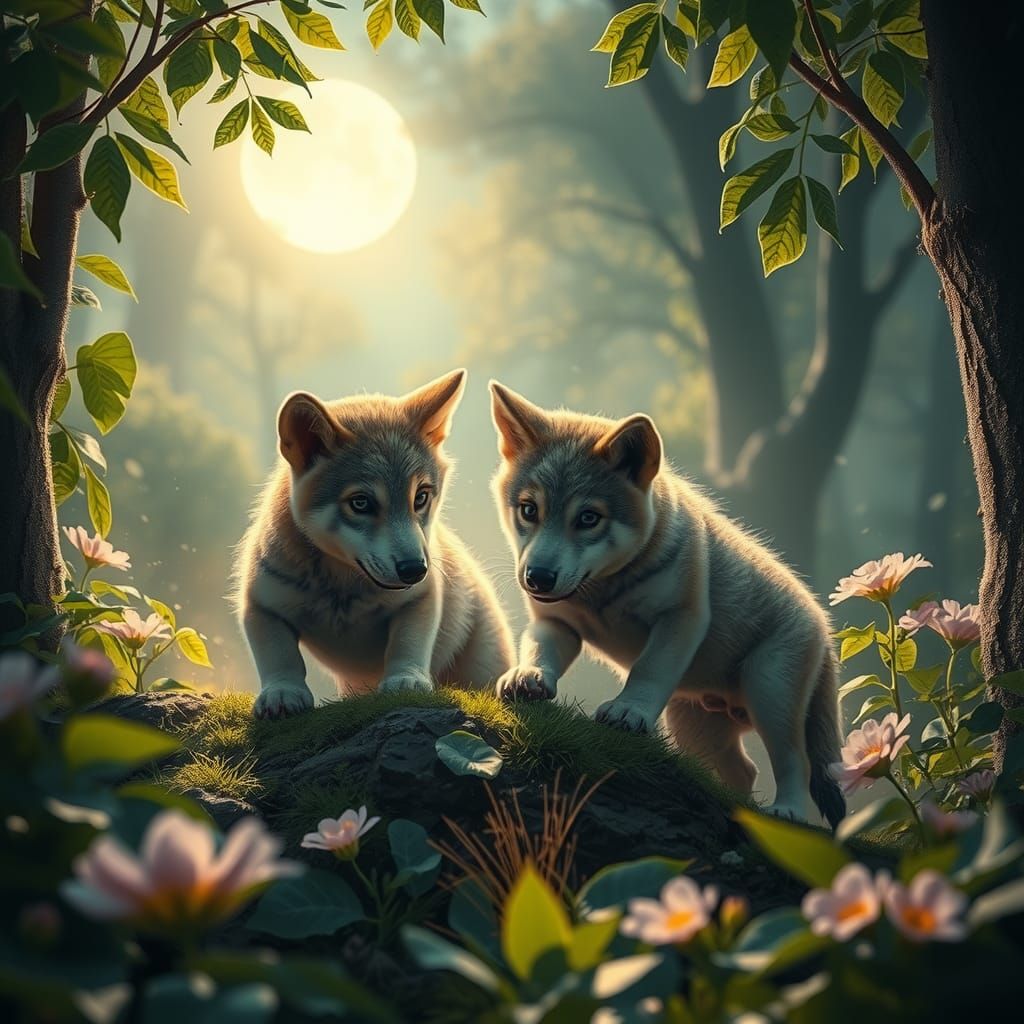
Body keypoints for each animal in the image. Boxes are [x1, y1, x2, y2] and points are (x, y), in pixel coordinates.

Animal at [235, 369, 514, 719]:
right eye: (361, 503)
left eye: (421, 497)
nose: (415, 569)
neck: (341, 590)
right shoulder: (261, 604)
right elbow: (278, 654)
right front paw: (282, 693)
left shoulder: (421, 599)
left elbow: (407, 642)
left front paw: (406, 681)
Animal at [488, 382, 845, 827]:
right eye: (529, 509)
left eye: (588, 518)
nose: (537, 577)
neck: (603, 591)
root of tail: (824, 627)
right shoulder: (557, 624)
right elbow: (540, 652)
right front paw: (528, 677)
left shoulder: (680, 618)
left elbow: (647, 669)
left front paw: (628, 712)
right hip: (696, 727)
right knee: (745, 772)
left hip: (770, 692)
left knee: (796, 761)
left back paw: (788, 812)